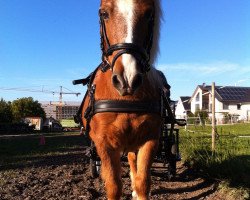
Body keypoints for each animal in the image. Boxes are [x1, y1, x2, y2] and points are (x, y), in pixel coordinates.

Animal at [82, 0, 163, 199]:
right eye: (104, 13)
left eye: (149, 14)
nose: (127, 78)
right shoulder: (104, 143)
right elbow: (113, 185)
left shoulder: (150, 139)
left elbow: (143, 183)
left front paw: (136, 188)